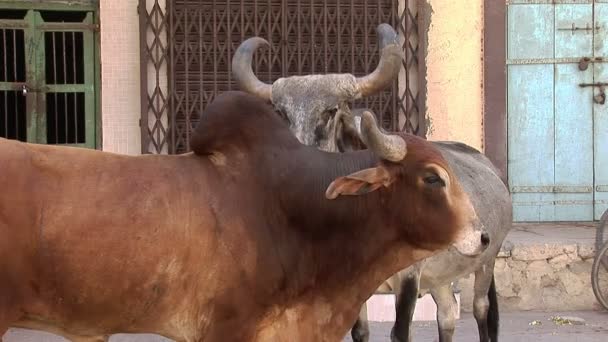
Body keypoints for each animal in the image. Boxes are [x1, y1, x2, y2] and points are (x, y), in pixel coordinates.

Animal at [230, 24, 510, 342]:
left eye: (330, 111)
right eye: (282, 113)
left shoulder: (409, 278)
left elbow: (400, 332)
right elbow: (360, 331)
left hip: (486, 263)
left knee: (481, 310)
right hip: (441, 278)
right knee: (448, 315)